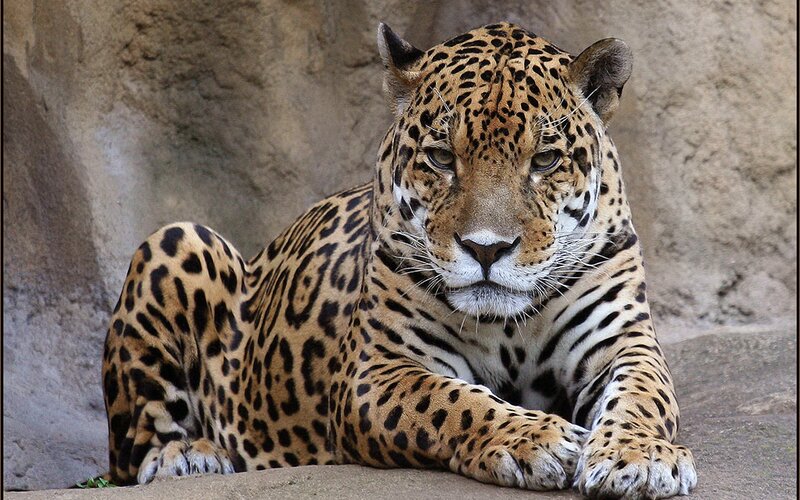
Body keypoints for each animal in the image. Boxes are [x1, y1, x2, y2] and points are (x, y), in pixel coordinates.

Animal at [101, 22, 697, 498]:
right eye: (440, 157)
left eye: (546, 160)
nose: (486, 248)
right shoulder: (378, 370)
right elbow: (452, 402)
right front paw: (536, 439)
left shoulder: (622, 341)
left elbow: (644, 396)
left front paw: (638, 458)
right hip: (176, 239)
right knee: (133, 453)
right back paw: (190, 457)